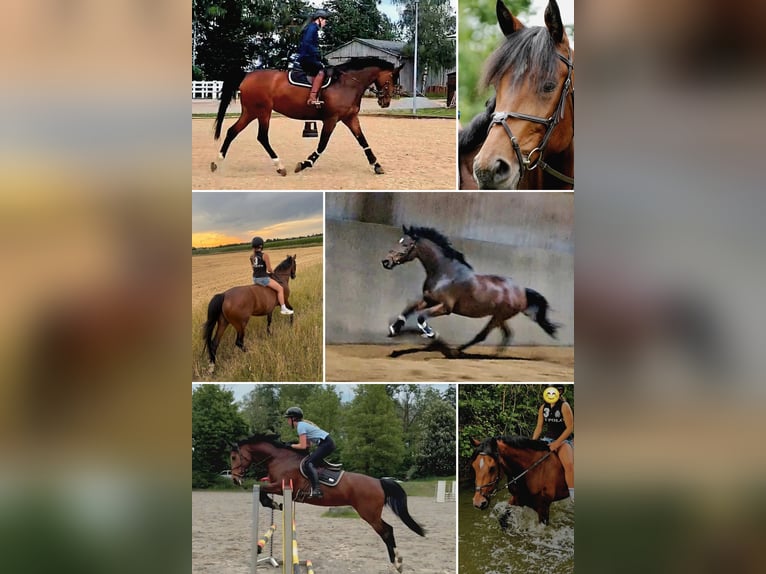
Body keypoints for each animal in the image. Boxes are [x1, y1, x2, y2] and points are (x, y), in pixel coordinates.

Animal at [211, 57, 404, 176]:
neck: (347, 83)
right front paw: (304, 164)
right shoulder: (331, 119)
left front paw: (376, 165)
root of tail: (247, 75)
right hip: (262, 112)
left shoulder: (350, 118)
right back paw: (279, 166)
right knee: (262, 137)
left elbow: (363, 141)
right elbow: (322, 144)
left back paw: (217, 162)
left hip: (250, 112)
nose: (386, 102)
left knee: (232, 131)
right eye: (392, 78)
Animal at [230, 434, 426, 573]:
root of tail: (379, 481)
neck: (279, 458)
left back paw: (397, 563)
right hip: (371, 514)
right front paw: (275, 504)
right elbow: (263, 489)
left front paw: (274, 504)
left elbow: (262, 490)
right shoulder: (277, 486)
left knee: (387, 531)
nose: (234, 479)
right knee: (388, 530)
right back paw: (398, 562)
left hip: (369, 514)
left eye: (233, 457)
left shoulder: (281, 486)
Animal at [381, 225, 559, 354]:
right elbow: (409, 309)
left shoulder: (446, 307)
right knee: (507, 334)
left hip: (499, 316)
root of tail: (522, 291)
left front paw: (431, 334)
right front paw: (393, 329)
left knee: (483, 335)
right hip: (499, 316)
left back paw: (457, 351)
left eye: (406, 244)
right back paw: (493, 354)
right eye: (399, 241)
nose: (385, 262)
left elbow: (421, 317)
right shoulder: (428, 300)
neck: (445, 273)